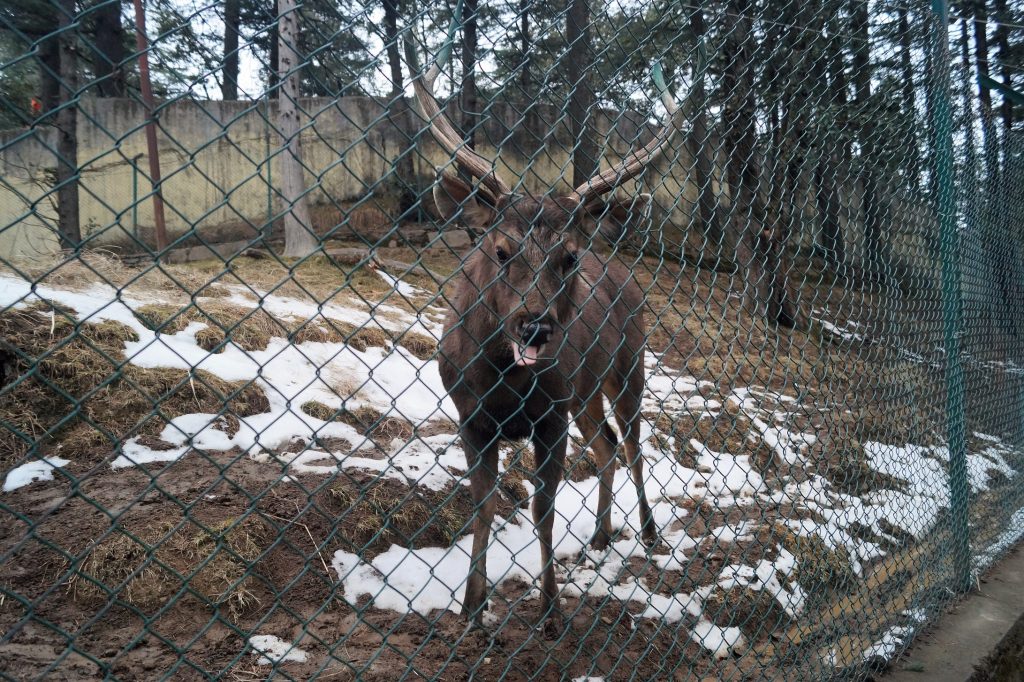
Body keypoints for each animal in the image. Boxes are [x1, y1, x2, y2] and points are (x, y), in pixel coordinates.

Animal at [403, 6, 684, 630]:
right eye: (500, 248)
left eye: (569, 255)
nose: (535, 327)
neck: (506, 381)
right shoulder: (470, 416)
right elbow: (483, 505)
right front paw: (472, 608)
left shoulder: (550, 416)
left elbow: (543, 507)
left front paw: (551, 609)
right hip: (585, 391)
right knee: (606, 445)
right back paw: (602, 535)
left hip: (628, 367)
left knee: (632, 443)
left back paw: (648, 532)